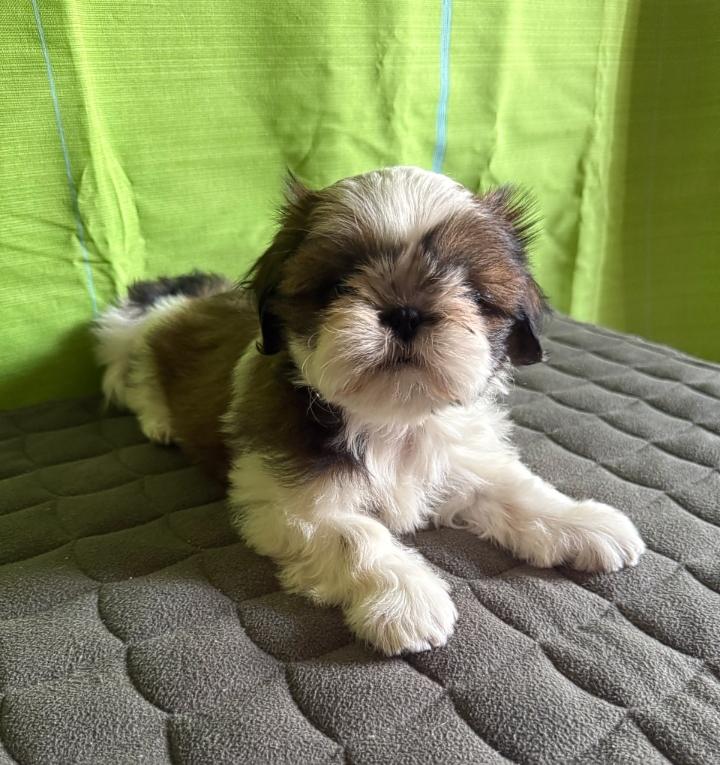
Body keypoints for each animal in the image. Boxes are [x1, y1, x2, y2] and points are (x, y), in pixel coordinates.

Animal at [94, 166, 645, 655]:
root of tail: (185, 299)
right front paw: (406, 597)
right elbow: (355, 533)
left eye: (469, 289)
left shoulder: (462, 456)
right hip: (127, 340)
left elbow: (517, 488)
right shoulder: (278, 501)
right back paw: (160, 420)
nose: (405, 311)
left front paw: (580, 521)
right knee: (132, 379)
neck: (392, 420)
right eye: (338, 285)